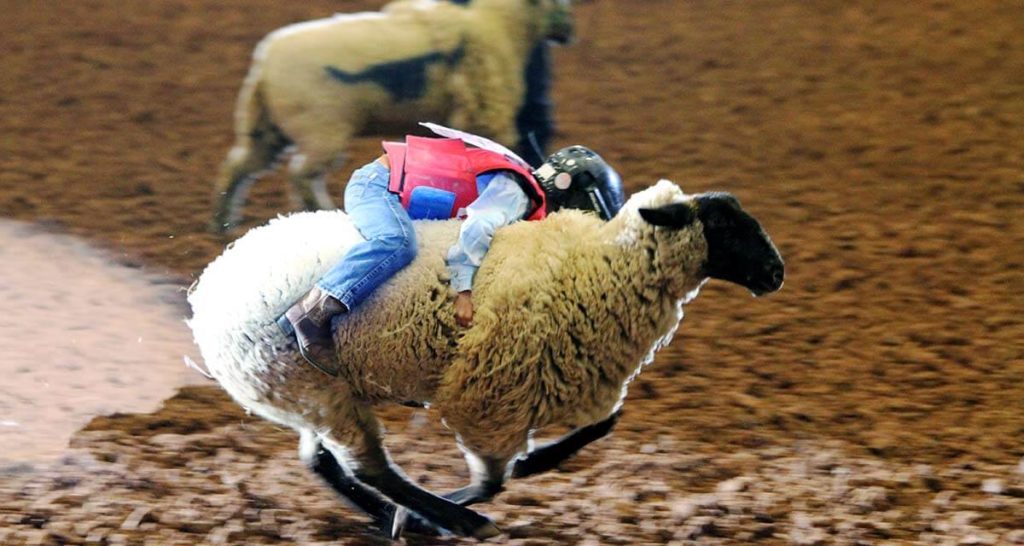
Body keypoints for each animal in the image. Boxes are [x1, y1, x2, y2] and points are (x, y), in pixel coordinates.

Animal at [188, 179, 785, 538]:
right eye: (723, 223)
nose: (776, 272)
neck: (599, 267)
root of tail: (208, 291)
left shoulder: (575, 377)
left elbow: (602, 425)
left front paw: (535, 463)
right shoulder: (492, 395)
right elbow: (492, 479)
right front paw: (469, 504)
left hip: (315, 392)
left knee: (323, 463)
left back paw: (399, 519)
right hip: (314, 387)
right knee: (368, 468)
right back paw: (440, 519)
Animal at [211, 0, 572, 232]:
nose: (569, 32)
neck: (501, 23)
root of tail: (264, 65)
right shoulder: (488, 117)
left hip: (267, 130)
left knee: (239, 165)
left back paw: (221, 222)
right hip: (320, 130)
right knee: (301, 174)